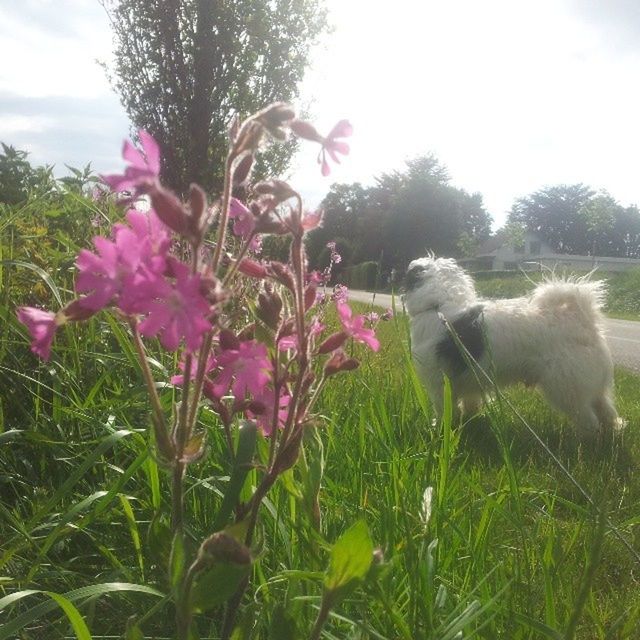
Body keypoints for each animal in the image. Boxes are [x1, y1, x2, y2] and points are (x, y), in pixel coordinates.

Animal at [404, 258, 620, 438]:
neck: (438, 306)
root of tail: (582, 320)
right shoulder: (471, 382)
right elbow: (470, 404)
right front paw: (469, 421)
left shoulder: (439, 384)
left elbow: (444, 410)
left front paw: (439, 430)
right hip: (589, 386)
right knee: (606, 410)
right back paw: (612, 432)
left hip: (565, 387)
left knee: (588, 420)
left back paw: (583, 442)